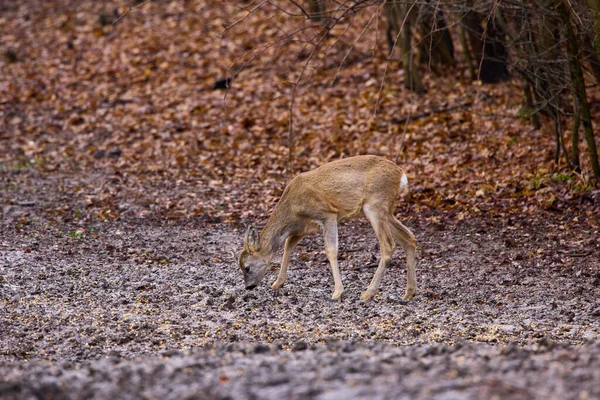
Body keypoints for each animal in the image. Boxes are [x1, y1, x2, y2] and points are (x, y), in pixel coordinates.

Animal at [239, 155, 418, 302]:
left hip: (375, 206)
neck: (292, 209)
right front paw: (277, 283)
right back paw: (408, 293)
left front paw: (337, 292)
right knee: (409, 237)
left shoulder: (328, 215)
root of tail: (402, 175)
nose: (248, 287)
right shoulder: (305, 227)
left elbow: (331, 250)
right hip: (386, 211)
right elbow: (289, 244)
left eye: (247, 267)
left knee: (389, 245)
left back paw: (368, 293)